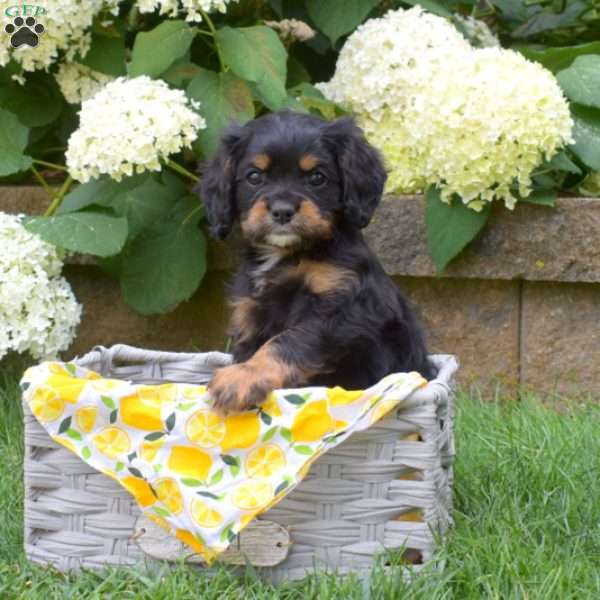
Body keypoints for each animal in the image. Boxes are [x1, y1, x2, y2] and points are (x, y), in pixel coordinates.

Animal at [199, 110, 434, 414]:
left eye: (317, 178)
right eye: (254, 176)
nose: (282, 211)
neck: (288, 255)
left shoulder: (343, 307)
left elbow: (286, 341)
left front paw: (241, 378)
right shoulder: (250, 313)